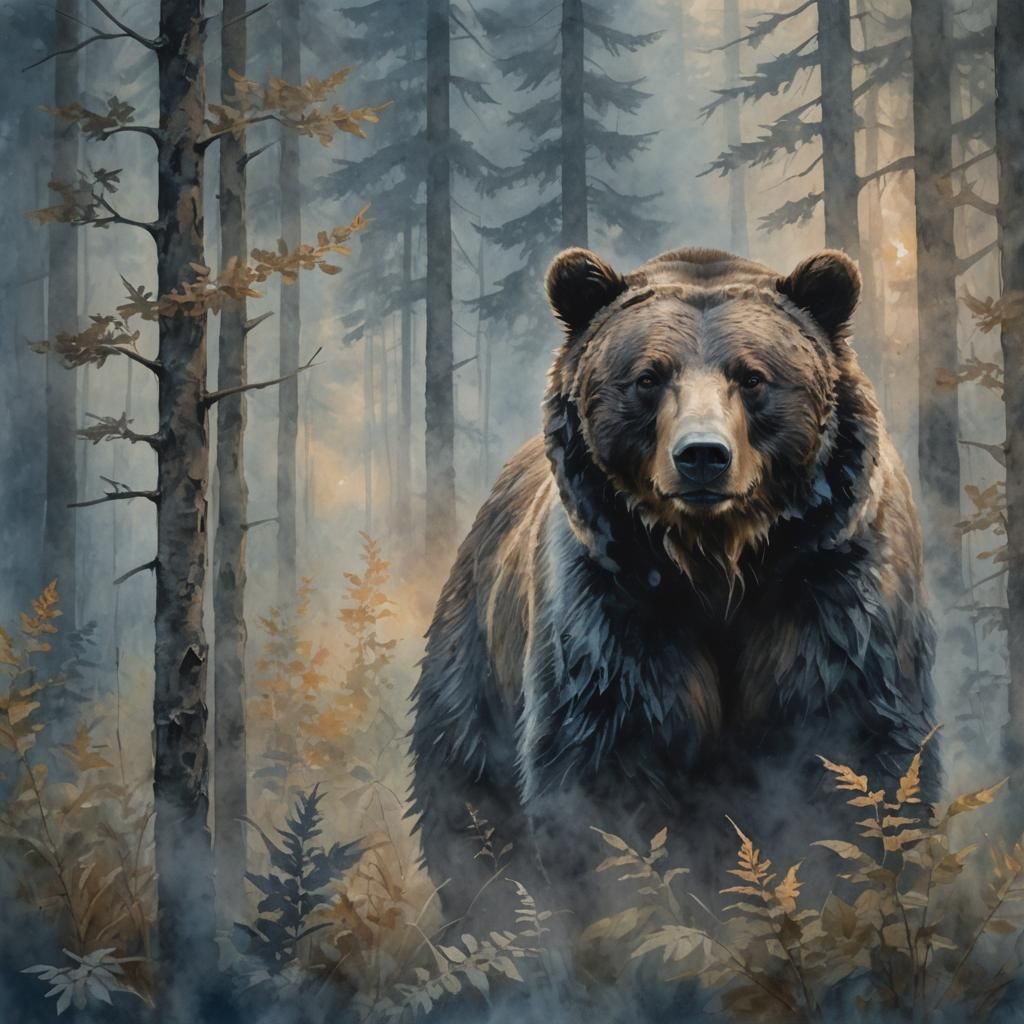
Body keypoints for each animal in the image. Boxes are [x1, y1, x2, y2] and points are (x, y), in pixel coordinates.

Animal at [408, 245, 938, 928]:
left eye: (753, 376)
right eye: (648, 377)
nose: (703, 455)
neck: (718, 566)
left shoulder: (834, 595)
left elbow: (854, 760)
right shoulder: (613, 611)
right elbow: (604, 781)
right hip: (474, 654)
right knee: (466, 800)